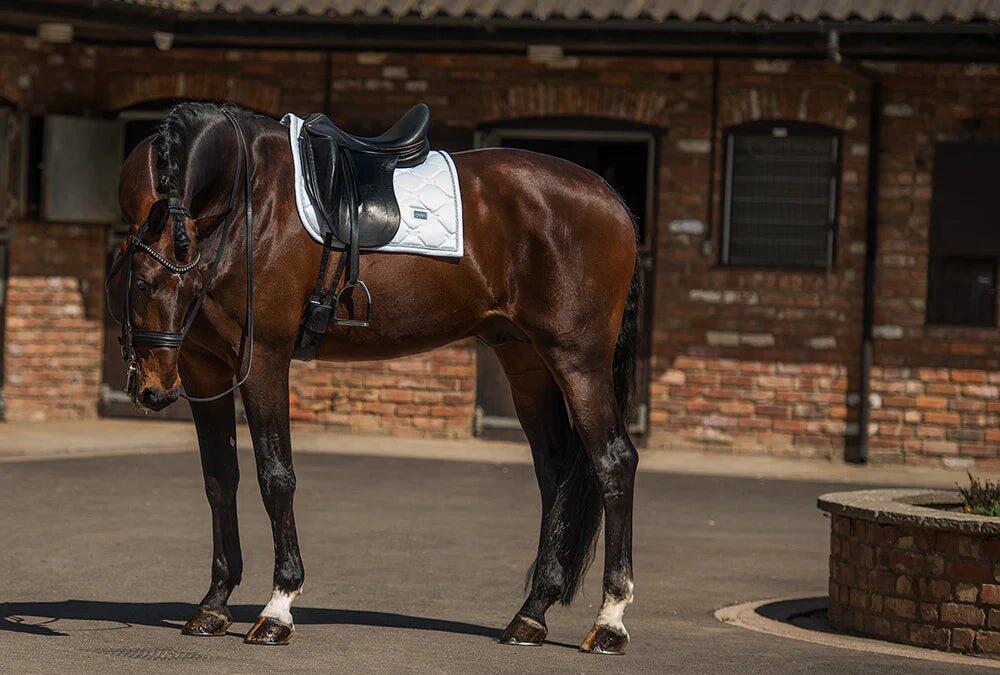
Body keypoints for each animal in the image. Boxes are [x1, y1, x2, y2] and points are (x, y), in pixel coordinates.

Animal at [106, 102, 641, 654]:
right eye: (129, 281)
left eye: (148, 282)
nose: (152, 390)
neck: (247, 202)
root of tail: (611, 201)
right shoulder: (202, 368)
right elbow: (219, 479)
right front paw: (214, 603)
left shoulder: (264, 361)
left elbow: (276, 477)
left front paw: (278, 608)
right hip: (527, 361)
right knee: (554, 471)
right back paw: (531, 614)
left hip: (577, 360)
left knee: (613, 462)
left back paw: (609, 621)